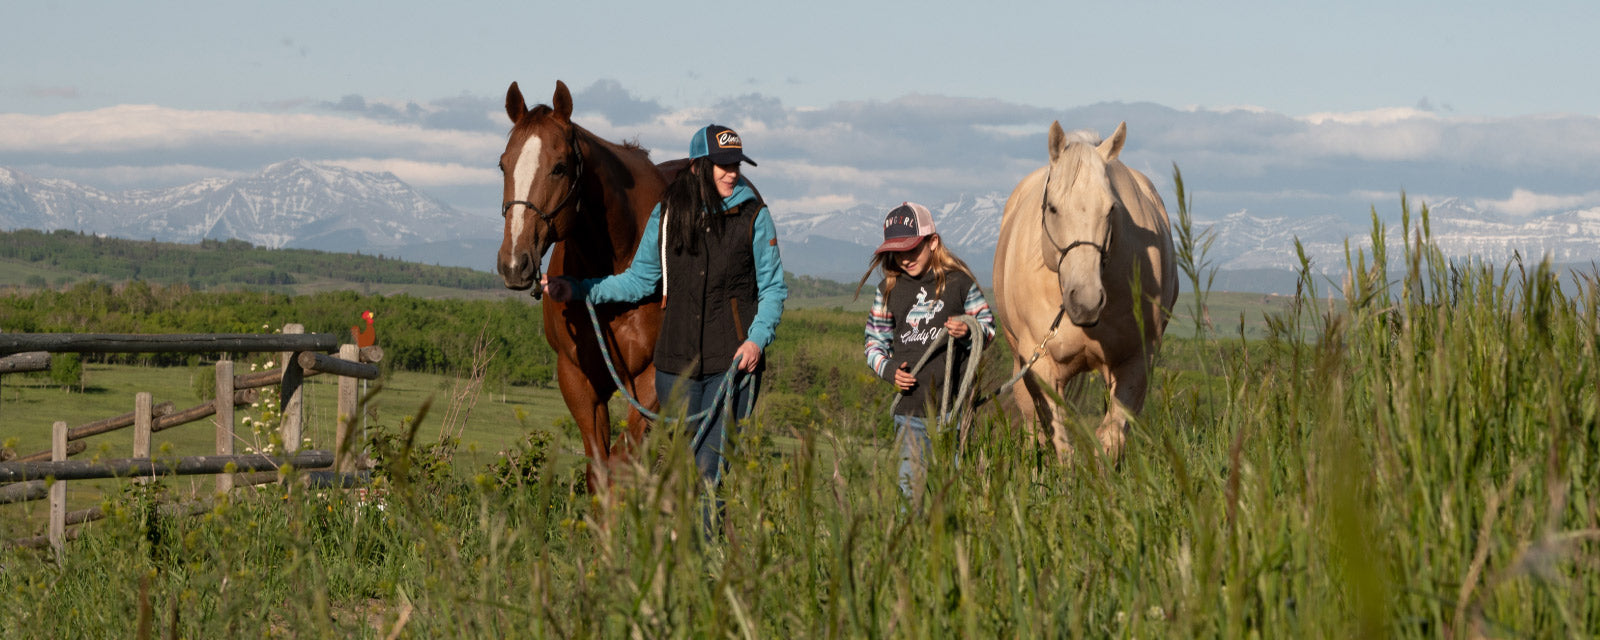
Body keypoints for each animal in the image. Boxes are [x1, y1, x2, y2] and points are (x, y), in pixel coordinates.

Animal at [489, 81, 659, 489]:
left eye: (560, 167)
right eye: (503, 164)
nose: (514, 263)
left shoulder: (654, 380)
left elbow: (622, 463)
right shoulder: (577, 378)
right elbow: (599, 468)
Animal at [992, 121, 1184, 460]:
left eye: (1110, 209)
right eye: (1053, 208)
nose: (1086, 302)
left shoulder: (1136, 361)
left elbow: (1111, 438)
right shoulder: (1039, 364)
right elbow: (1059, 442)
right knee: (1032, 427)